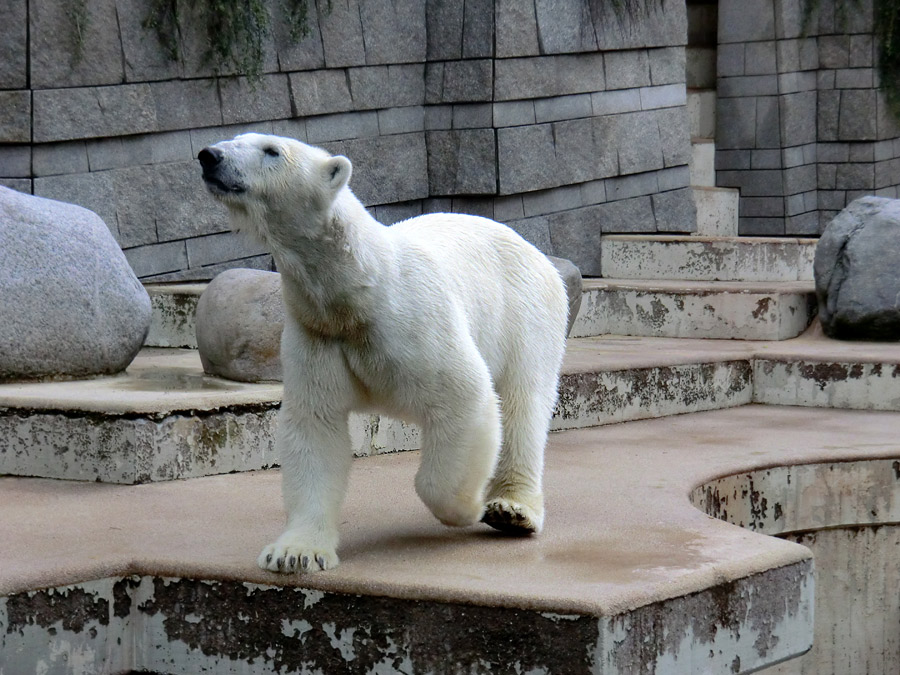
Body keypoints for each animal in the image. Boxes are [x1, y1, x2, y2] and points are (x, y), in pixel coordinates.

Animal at [200, 133, 568, 576]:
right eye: (235, 139)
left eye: (271, 150)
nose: (209, 156)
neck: (356, 293)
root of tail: (536, 252)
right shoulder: (316, 335)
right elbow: (314, 427)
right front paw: (295, 552)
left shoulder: (412, 320)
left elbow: (465, 395)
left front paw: (467, 507)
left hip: (527, 313)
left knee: (522, 402)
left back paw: (511, 510)